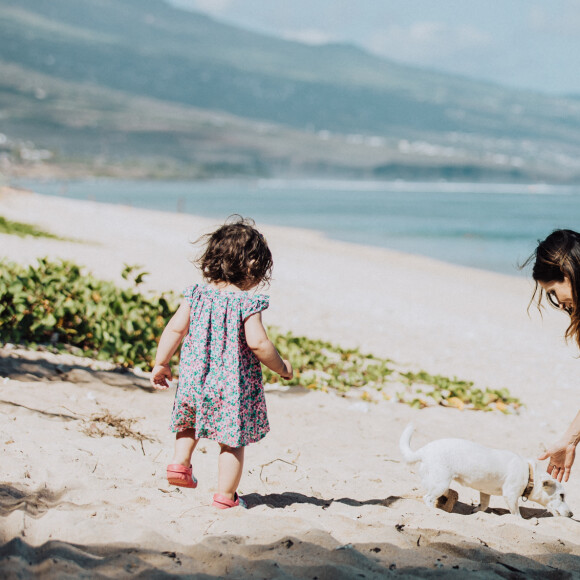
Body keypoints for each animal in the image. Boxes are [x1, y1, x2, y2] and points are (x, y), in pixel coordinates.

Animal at [398, 424, 572, 520]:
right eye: (561, 496)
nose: (571, 514)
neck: (530, 475)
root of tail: (423, 451)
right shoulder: (510, 495)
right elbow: (516, 514)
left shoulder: (485, 492)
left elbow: (484, 505)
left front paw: (475, 512)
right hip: (440, 483)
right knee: (427, 498)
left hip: (439, 484)